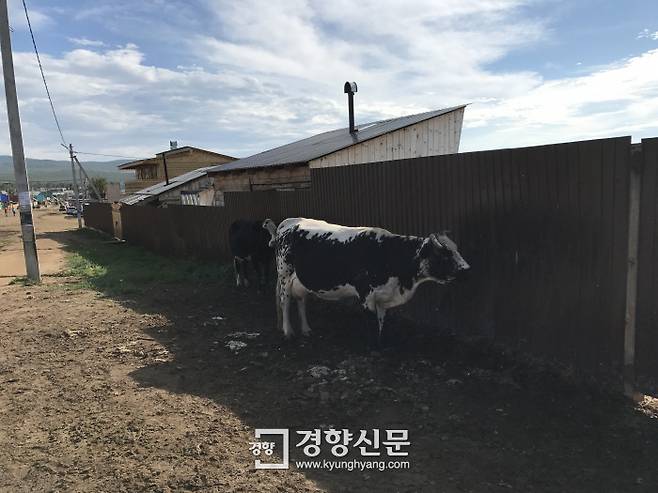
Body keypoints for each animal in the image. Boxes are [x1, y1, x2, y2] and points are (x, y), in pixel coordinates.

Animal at [270, 218, 466, 338]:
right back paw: (288, 332)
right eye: (445, 255)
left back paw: (306, 330)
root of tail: (291, 221)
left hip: (300, 281)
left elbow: (381, 321)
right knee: (285, 302)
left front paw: (382, 341)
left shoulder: (383, 295)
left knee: (301, 301)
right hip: (285, 274)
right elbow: (371, 321)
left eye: (456, 249)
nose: (466, 269)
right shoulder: (366, 294)